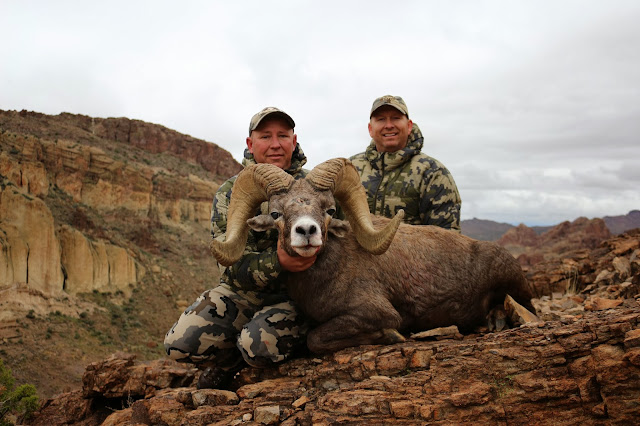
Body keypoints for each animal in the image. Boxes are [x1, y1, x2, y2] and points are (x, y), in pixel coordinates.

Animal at [211, 158, 536, 354]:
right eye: (276, 214)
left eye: (329, 210)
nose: (307, 231)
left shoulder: (377, 313)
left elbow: (315, 339)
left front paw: (391, 337)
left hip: (515, 283)